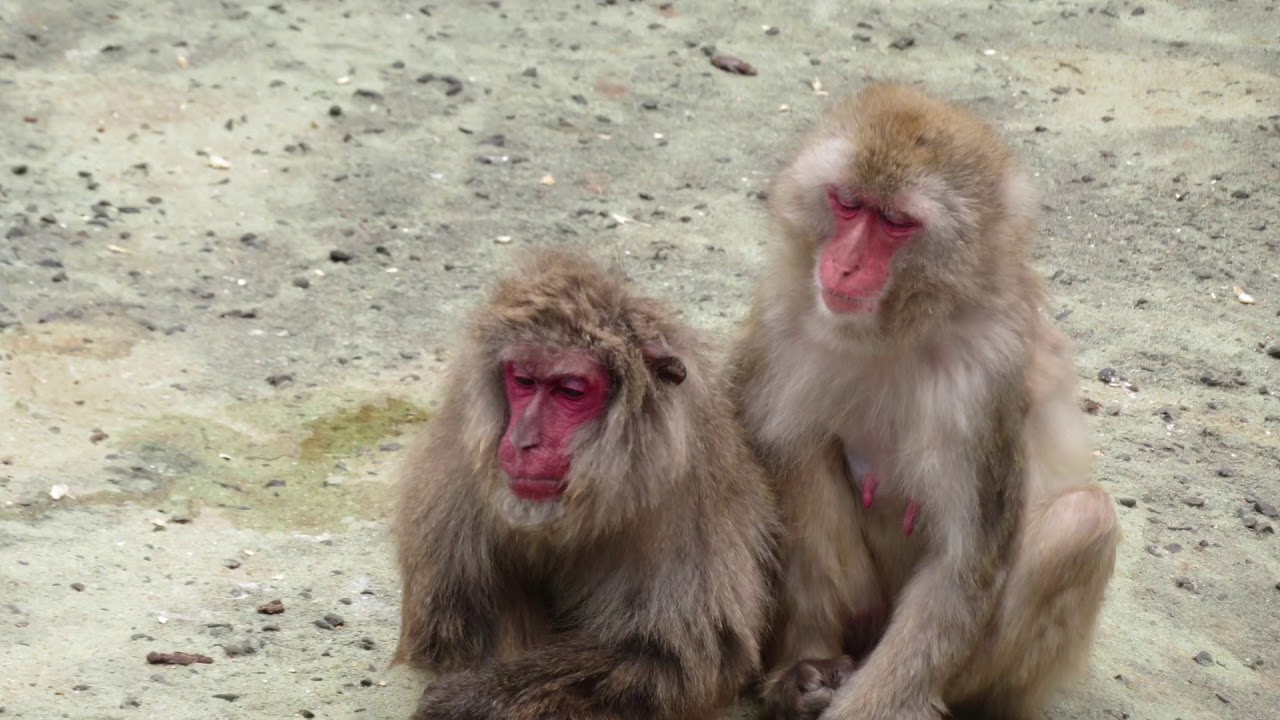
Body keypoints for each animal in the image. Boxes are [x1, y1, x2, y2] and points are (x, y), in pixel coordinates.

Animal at [390, 247, 778, 720]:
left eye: (570, 391)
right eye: (523, 381)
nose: (522, 442)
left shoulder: (690, 501)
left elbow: (669, 658)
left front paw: (468, 701)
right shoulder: (458, 479)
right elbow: (450, 626)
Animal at [728, 83, 1121, 720]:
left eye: (894, 222)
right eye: (847, 204)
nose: (844, 264)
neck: (895, 330)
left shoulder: (986, 379)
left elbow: (960, 568)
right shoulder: (778, 326)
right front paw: (796, 677)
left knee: (1082, 522)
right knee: (801, 449)